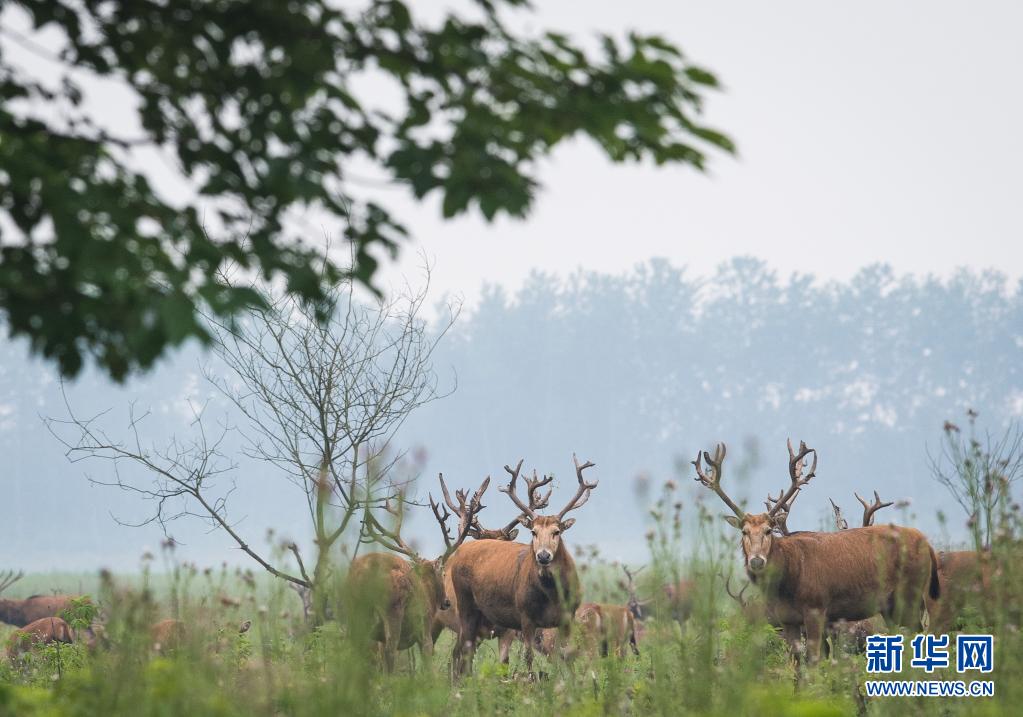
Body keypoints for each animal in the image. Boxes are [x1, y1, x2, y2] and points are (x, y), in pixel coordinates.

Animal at [343, 474, 486, 670]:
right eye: (442, 574)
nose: (447, 602)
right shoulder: (424, 630)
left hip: (353, 612)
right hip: (392, 610)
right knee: (389, 649)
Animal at [448, 456, 597, 675]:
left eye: (556, 532)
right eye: (533, 532)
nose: (543, 555)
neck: (552, 595)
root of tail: (460, 551)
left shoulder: (567, 617)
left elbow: (565, 656)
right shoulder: (526, 616)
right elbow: (528, 657)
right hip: (465, 604)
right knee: (462, 652)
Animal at [699, 439, 937, 662]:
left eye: (768, 530)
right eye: (744, 532)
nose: (757, 561)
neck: (786, 582)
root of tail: (928, 543)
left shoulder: (816, 608)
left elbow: (815, 658)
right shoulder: (788, 618)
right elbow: (797, 660)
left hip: (910, 595)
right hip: (890, 606)